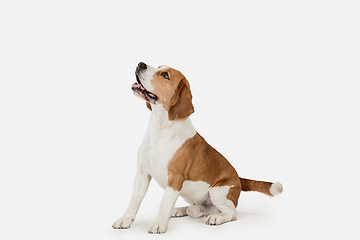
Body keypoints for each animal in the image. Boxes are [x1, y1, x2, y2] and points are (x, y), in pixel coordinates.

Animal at [113, 62, 284, 234]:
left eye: (165, 75)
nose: (141, 64)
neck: (160, 127)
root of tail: (239, 178)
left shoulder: (175, 178)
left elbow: (164, 202)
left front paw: (159, 224)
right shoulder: (142, 173)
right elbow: (134, 200)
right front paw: (125, 220)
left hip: (218, 192)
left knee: (231, 212)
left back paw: (216, 218)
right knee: (198, 209)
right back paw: (180, 210)